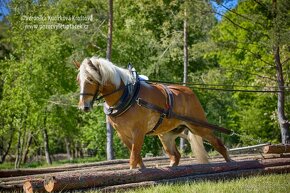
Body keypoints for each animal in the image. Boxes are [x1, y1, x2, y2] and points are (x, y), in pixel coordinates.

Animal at [76, 56, 231, 169]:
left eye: (91, 79)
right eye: (78, 80)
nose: (84, 106)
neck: (128, 96)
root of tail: (189, 92)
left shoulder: (138, 131)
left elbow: (134, 158)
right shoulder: (123, 134)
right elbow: (137, 157)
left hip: (199, 126)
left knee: (219, 145)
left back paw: (231, 164)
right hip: (166, 135)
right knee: (175, 156)